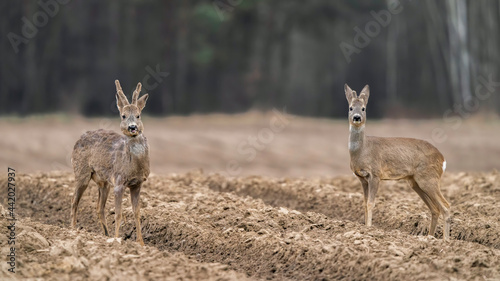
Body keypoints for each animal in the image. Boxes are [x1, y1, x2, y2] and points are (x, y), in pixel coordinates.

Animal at [70, 79, 149, 245]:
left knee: (99, 207)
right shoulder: (119, 182)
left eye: (138, 115)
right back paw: (73, 230)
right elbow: (118, 213)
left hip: (103, 182)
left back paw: (105, 235)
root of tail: (79, 138)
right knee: (74, 200)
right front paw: (117, 239)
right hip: (81, 172)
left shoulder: (137, 184)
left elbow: (137, 212)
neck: (134, 166)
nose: (132, 127)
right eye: (123, 116)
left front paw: (141, 243)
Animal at [346, 83, 452, 238]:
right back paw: (430, 237)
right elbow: (364, 204)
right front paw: (365, 227)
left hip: (429, 178)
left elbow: (371, 203)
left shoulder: (375, 174)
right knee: (435, 208)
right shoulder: (362, 178)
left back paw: (445, 240)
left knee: (446, 206)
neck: (362, 150)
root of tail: (443, 159)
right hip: (415, 182)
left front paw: (369, 229)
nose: (357, 117)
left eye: (364, 108)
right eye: (351, 107)